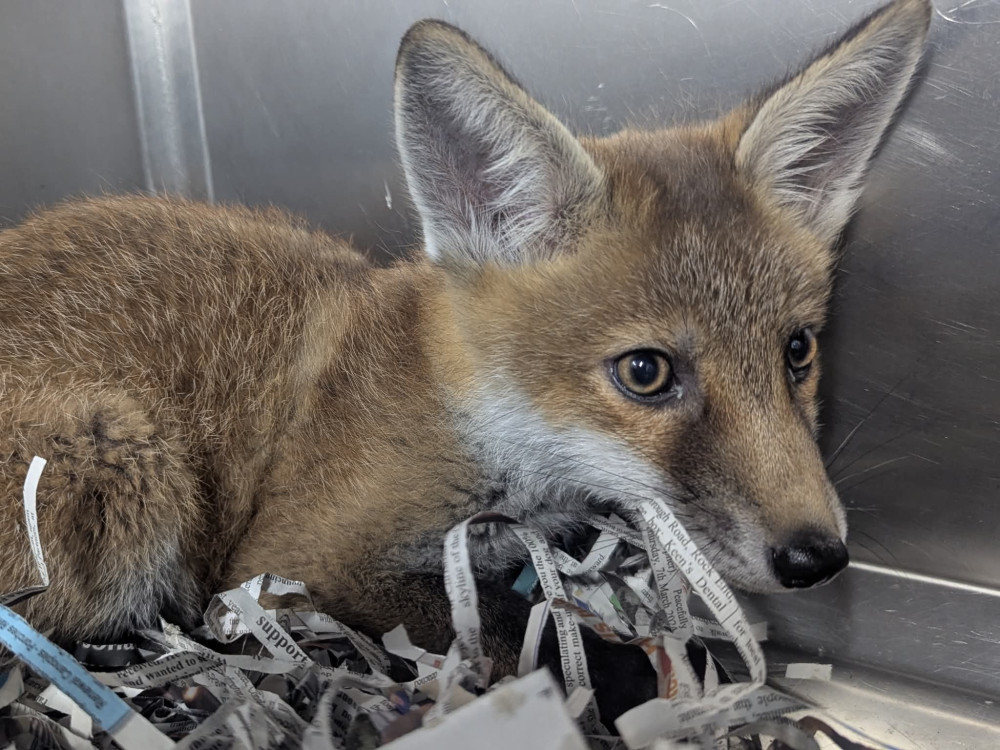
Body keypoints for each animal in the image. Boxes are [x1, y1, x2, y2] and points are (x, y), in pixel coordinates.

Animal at [0, 0, 929, 723]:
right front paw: (644, 679)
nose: (817, 557)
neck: (466, 415)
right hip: (122, 453)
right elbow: (497, 625)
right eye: (646, 373)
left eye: (797, 350)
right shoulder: (293, 559)